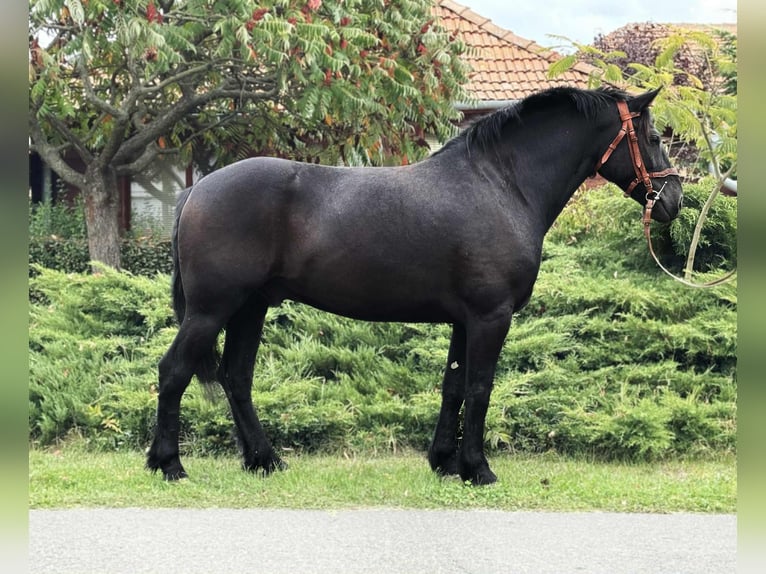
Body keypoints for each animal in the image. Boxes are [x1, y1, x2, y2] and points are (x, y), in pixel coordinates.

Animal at [147, 86, 683, 485]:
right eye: (655, 135)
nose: (674, 198)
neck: (502, 185)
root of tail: (197, 189)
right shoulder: (491, 316)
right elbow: (480, 387)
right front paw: (478, 470)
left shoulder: (466, 320)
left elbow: (453, 386)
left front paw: (444, 463)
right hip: (211, 310)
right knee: (174, 371)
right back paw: (169, 464)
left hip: (250, 308)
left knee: (237, 377)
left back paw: (265, 460)